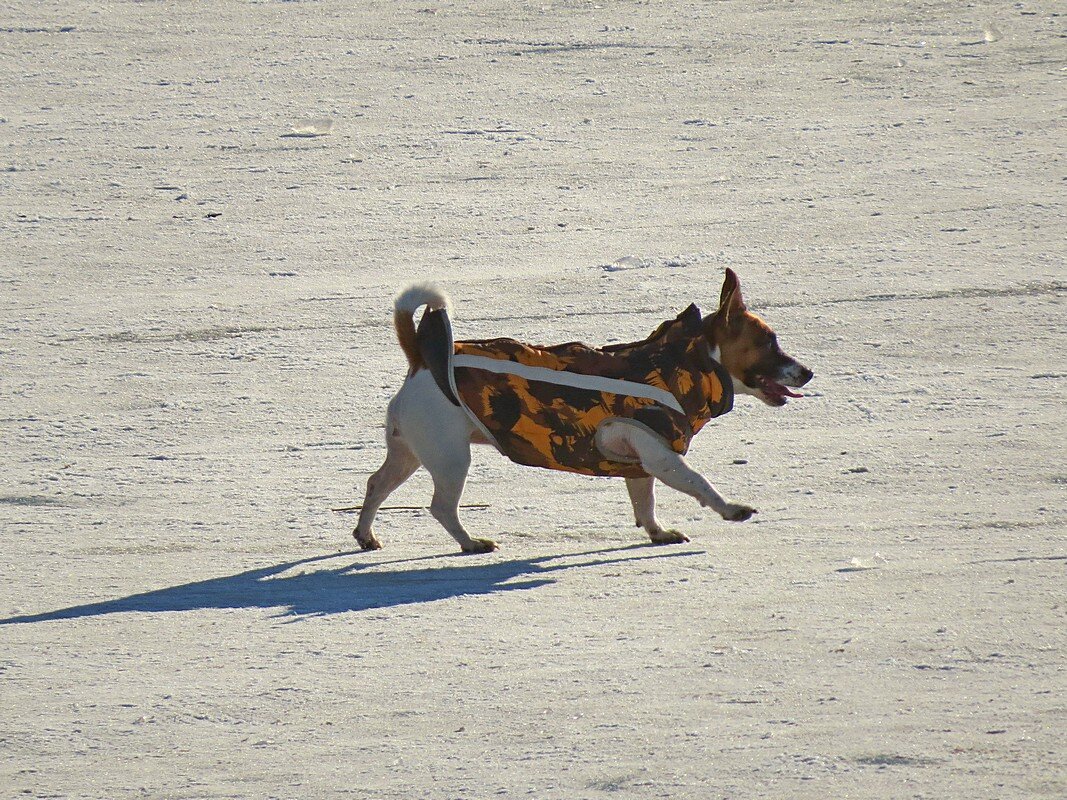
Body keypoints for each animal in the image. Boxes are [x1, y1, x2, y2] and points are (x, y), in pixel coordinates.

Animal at [354, 269, 810, 550]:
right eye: (769, 343)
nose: (807, 373)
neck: (683, 363)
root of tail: (421, 359)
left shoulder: (641, 464)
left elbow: (644, 504)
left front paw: (657, 532)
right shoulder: (662, 456)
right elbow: (699, 483)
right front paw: (731, 510)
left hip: (410, 453)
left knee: (376, 484)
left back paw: (365, 535)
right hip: (450, 458)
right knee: (440, 507)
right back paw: (470, 543)